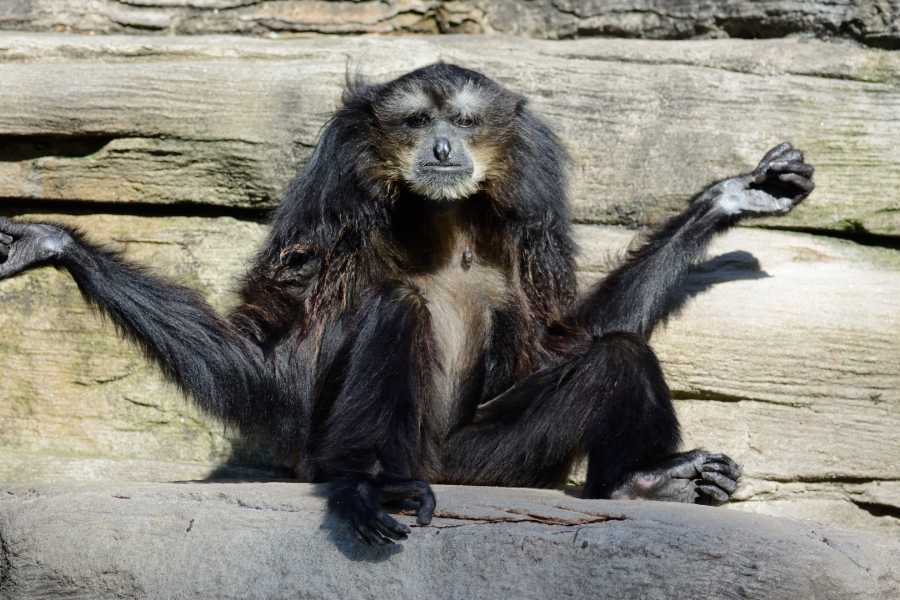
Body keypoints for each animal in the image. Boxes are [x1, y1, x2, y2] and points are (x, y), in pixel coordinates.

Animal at [0, 63, 814, 546]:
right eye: (420, 121)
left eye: (464, 121)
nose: (446, 148)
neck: (440, 214)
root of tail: (432, 468)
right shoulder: (334, 181)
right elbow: (273, 365)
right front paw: (56, 244)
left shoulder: (534, 193)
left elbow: (561, 335)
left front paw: (729, 199)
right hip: (405, 453)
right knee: (396, 310)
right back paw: (374, 484)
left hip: (480, 465)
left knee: (615, 354)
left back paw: (640, 483)